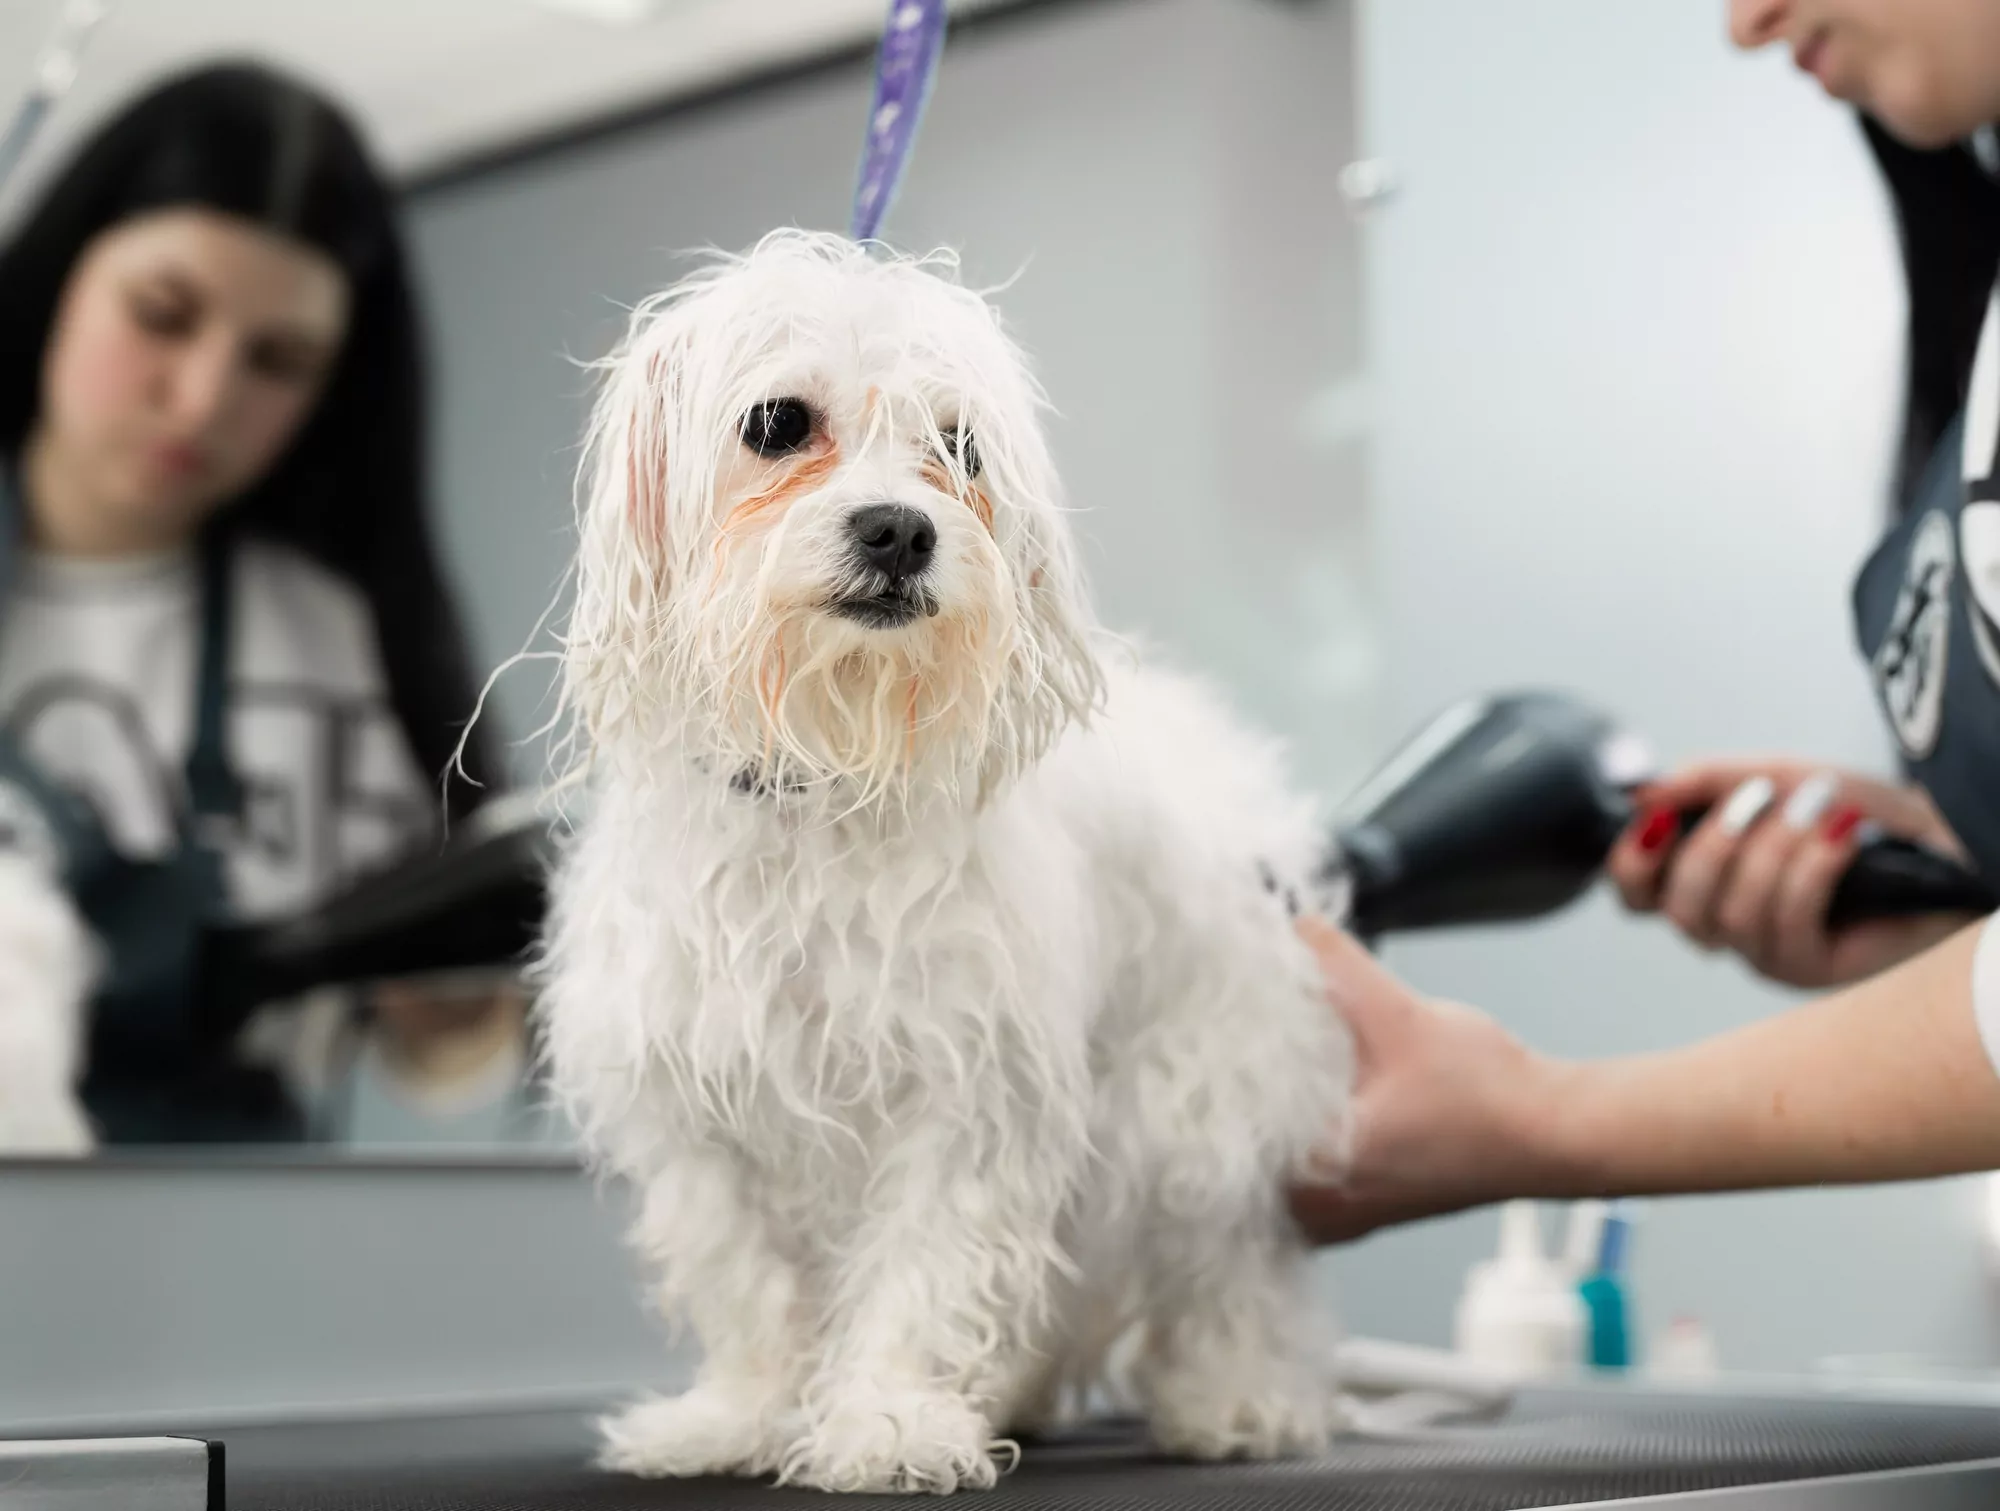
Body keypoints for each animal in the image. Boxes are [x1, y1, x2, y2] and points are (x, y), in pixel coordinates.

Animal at [544, 229, 1360, 1495]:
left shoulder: (968, 1086)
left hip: (1190, 1103)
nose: (900, 528)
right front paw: (738, 1415)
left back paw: (1236, 1397)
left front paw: (887, 1420)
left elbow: (926, 1269)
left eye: (959, 448)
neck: (821, 777)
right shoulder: (703, 1114)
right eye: (776, 422)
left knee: (1223, 1261)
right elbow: (746, 1282)